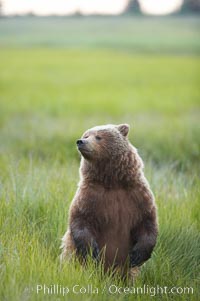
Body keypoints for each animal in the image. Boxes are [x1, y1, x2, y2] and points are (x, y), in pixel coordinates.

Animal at [60, 123, 159, 276]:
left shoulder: (137, 195)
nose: (80, 141)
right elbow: (81, 219)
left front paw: (137, 256)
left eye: (98, 137)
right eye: (86, 135)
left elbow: (147, 221)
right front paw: (92, 252)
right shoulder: (90, 197)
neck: (112, 181)